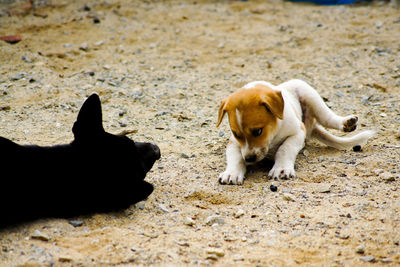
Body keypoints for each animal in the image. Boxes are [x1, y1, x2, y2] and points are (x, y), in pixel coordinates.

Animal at [217, 78, 374, 185]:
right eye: (237, 134)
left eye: (258, 131)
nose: (249, 159)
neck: (273, 135)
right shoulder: (233, 143)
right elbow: (235, 157)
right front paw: (231, 173)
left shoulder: (298, 133)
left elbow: (285, 149)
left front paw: (281, 169)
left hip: (308, 93)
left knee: (328, 118)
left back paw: (346, 122)